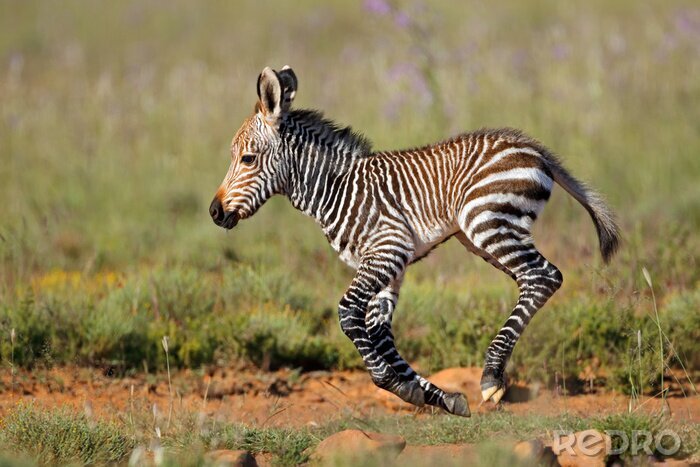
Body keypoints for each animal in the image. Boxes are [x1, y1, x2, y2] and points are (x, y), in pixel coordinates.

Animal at [209, 66, 620, 416]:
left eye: (247, 159)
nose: (214, 212)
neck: (333, 187)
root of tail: (532, 146)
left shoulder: (388, 249)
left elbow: (348, 314)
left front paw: (398, 385)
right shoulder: (388, 265)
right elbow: (378, 332)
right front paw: (435, 396)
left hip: (486, 221)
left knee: (544, 277)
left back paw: (491, 376)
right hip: (485, 234)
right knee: (535, 279)